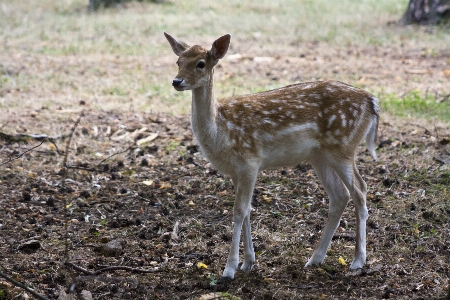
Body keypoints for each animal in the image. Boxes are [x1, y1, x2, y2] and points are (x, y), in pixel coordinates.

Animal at [163, 31, 378, 280]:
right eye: (178, 61)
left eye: (200, 63)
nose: (176, 81)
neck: (221, 131)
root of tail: (372, 102)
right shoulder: (236, 171)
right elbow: (247, 210)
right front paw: (248, 262)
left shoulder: (249, 162)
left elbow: (239, 211)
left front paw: (229, 269)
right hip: (320, 156)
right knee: (339, 196)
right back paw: (315, 259)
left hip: (343, 147)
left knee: (360, 190)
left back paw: (357, 261)